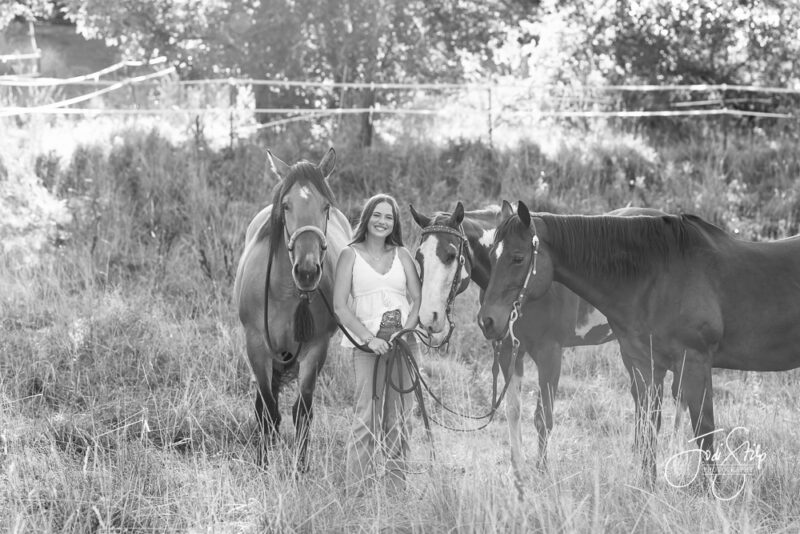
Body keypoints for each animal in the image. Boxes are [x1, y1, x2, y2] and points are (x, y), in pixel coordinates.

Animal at [234, 148, 351, 470]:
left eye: (326, 206)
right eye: (286, 205)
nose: (308, 271)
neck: (287, 292)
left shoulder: (315, 349)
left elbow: (303, 412)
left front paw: (300, 469)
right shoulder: (256, 344)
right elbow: (267, 411)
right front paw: (262, 466)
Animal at [409, 201, 615, 479]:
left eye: (450, 255)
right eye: (419, 256)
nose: (429, 317)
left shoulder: (550, 353)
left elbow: (543, 417)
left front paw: (542, 471)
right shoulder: (508, 350)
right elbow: (513, 411)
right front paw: (518, 469)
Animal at [478, 200, 800, 485]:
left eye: (518, 257)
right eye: (491, 256)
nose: (487, 320)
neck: (657, 278)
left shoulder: (694, 362)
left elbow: (703, 429)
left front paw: (714, 492)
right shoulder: (646, 365)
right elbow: (649, 425)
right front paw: (647, 486)